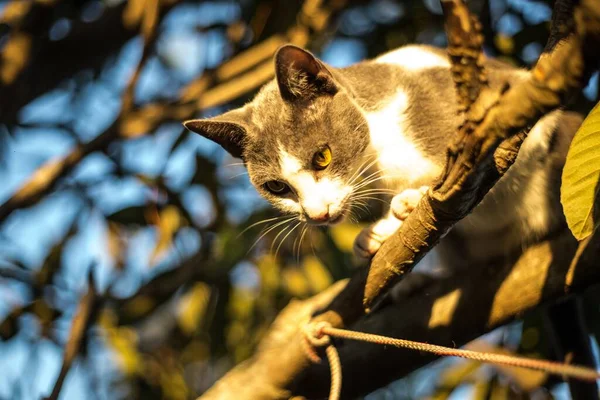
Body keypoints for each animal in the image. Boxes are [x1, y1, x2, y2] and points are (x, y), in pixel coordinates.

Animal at [184, 43, 580, 268]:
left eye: (322, 157)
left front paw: (412, 202)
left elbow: (495, 165)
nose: (317, 214)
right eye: (277, 187)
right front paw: (377, 234)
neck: (381, 157)